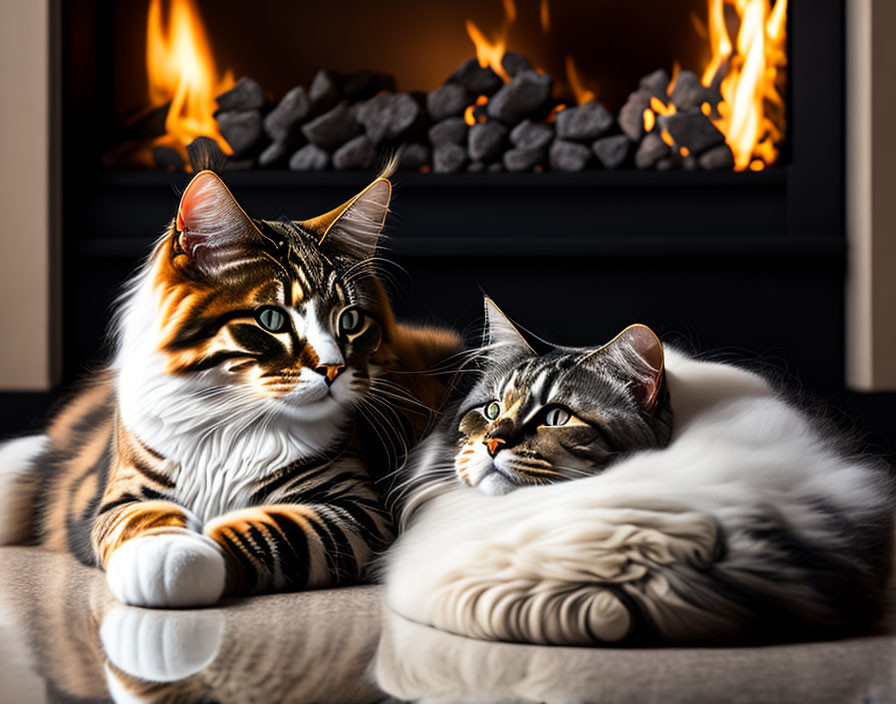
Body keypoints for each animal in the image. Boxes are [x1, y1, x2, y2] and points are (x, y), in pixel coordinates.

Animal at [0, 162, 462, 608]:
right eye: (272, 319)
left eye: (350, 321)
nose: (333, 369)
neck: (228, 421)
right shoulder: (123, 493)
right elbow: (143, 519)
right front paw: (165, 553)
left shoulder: (358, 508)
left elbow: (276, 531)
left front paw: (192, 562)